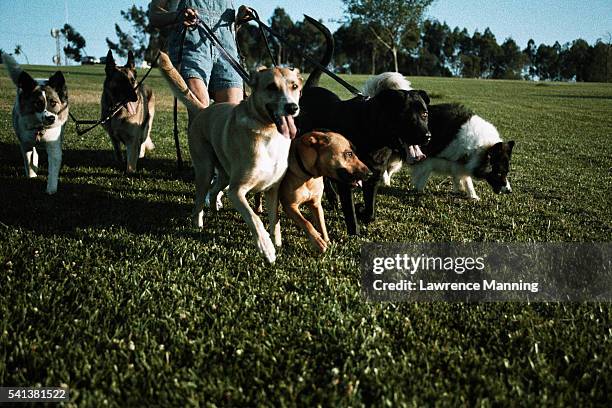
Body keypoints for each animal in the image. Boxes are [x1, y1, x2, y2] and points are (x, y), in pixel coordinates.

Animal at [2, 51, 68, 194]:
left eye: (53, 103)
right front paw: (31, 175)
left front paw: (51, 188)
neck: (40, 128)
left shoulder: (54, 145)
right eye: (38, 103)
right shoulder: (25, 143)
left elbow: (53, 167)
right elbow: (28, 160)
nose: (51, 119)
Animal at [158, 51, 302, 264]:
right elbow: (254, 219)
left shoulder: (272, 190)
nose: (292, 107)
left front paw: (276, 242)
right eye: (271, 87)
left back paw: (214, 207)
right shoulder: (237, 191)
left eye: (295, 86)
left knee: (214, 190)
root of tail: (203, 110)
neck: (268, 132)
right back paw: (198, 224)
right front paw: (266, 248)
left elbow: (274, 220)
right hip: (205, 170)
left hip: (224, 175)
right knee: (199, 201)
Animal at [298, 19, 432, 236]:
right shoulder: (346, 180)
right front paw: (355, 233)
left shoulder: (374, 176)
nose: (427, 136)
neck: (374, 134)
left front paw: (363, 212)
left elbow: (370, 211)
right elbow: (350, 213)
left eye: (424, 114)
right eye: (404, 115)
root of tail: (309, 90)